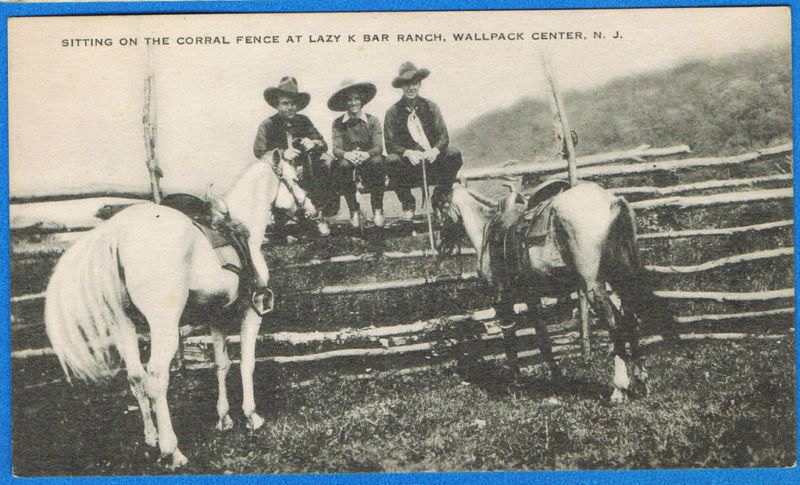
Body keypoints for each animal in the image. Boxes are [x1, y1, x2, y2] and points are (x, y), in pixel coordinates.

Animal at [44, 149, 310, 466]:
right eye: (295, 178)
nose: (309, 207)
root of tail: (118, 234)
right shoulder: (251, 312)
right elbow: (247, 363)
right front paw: (251, 416)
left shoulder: (216, 318)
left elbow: (221, 364)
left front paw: (224, 419)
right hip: (164, 327)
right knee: (156, 378)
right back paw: (172, 450)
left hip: (123, 324)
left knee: (136, 377)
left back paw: (151, 437)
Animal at [434, 182, 672, 400]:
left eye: (439, 208)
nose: (441, 247)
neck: (486, 227)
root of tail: (612, 202)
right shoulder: (531, 297)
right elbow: (543, 338)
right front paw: (557, 379)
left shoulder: (501, 298)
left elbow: (509, 338)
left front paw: (516, 382)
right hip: (620, 277)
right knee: (630, 319)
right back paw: (641, 381)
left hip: (593, 285)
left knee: (616, 324)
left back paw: (619, 388)